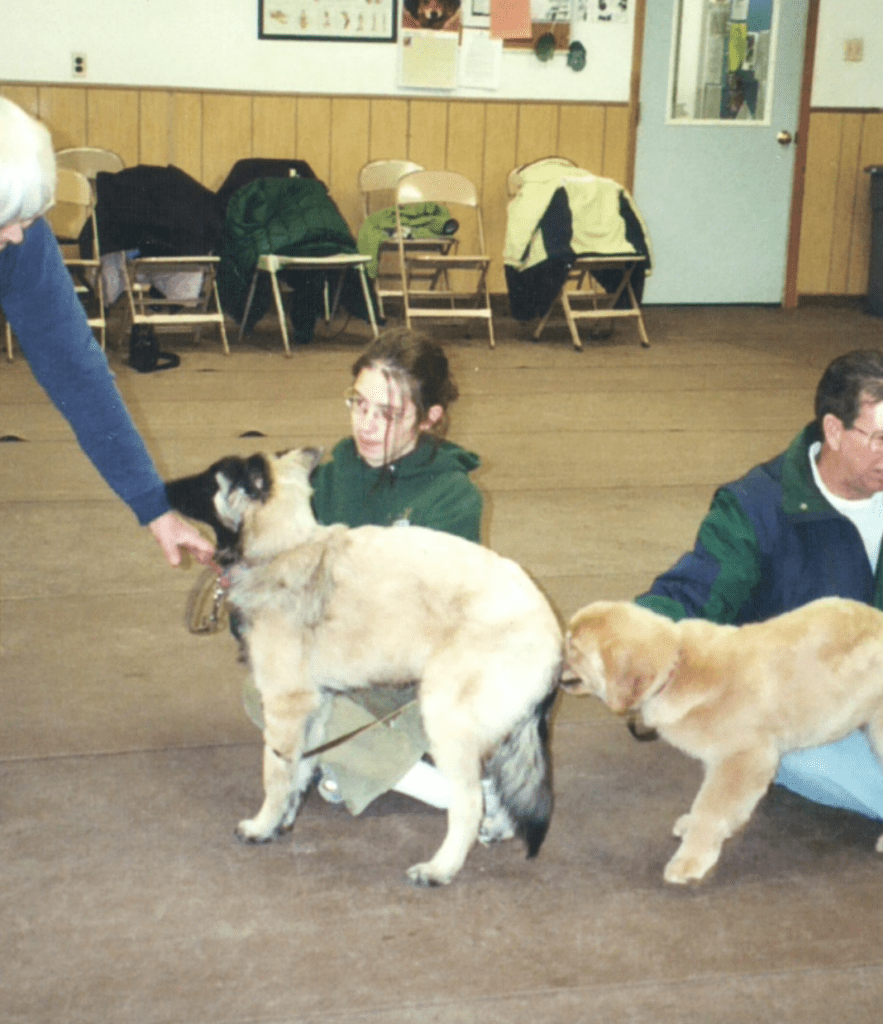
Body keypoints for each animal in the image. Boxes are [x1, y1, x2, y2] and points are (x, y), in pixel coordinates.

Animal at [169, 448, 565, 888]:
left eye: (208, 479)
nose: (163, 488)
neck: (286, 546)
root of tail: (552, 631)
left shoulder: (285, 705)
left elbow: (275, 773)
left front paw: (261, 825)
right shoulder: (316, 707)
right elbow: (300, 770)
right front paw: (283, 821)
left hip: (445, 717)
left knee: (468, 801)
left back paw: (440, 868)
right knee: (503, 781)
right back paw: (497, 828)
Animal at [565, 598, 883, 884]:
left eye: (574, 649)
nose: (556, 661)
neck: (677, 669)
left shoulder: (745, 757)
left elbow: (710, 809)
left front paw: (690, 859)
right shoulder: (721, 760)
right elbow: (714, 804)